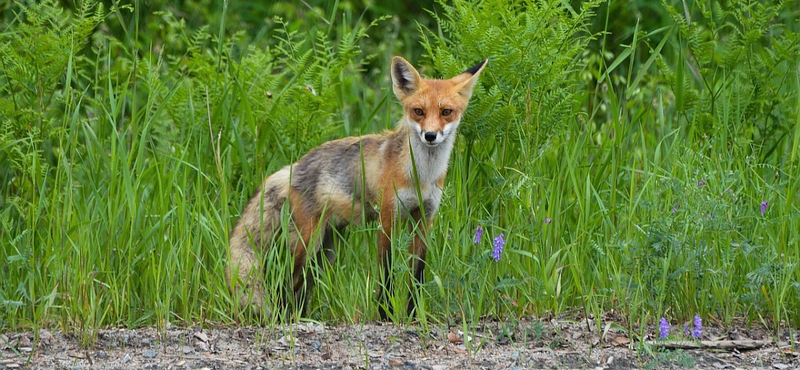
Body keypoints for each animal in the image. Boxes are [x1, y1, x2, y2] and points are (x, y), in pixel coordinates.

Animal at [227, 56, 488, 320]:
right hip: (308, 243)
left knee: (301, 287)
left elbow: (417, 276)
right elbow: (386, 274)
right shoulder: (387, 218)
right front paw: (385, 315)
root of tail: (294, 166)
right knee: (284, 283)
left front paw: (414, 316)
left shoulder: (424, 218)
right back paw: (286, 318)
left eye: (446, 112)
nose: (431, 135)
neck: (420, 177)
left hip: (326, 252)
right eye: (418, 112)